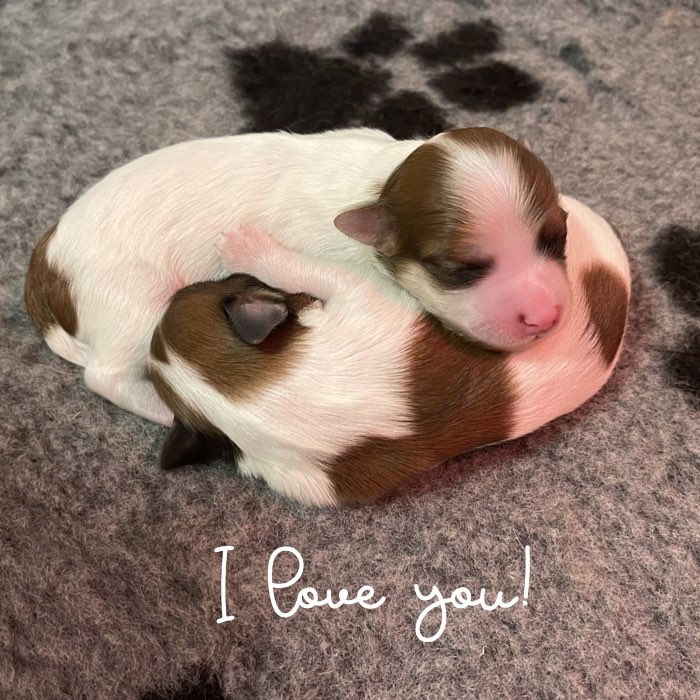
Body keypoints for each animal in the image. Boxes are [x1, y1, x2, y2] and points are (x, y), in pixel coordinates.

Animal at [26, 126, 576, 424]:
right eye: (459, 270)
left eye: (557, 238)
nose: (548, 317)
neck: (379, 182)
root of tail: (45, 267)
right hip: (131, 300)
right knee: (106, 375)